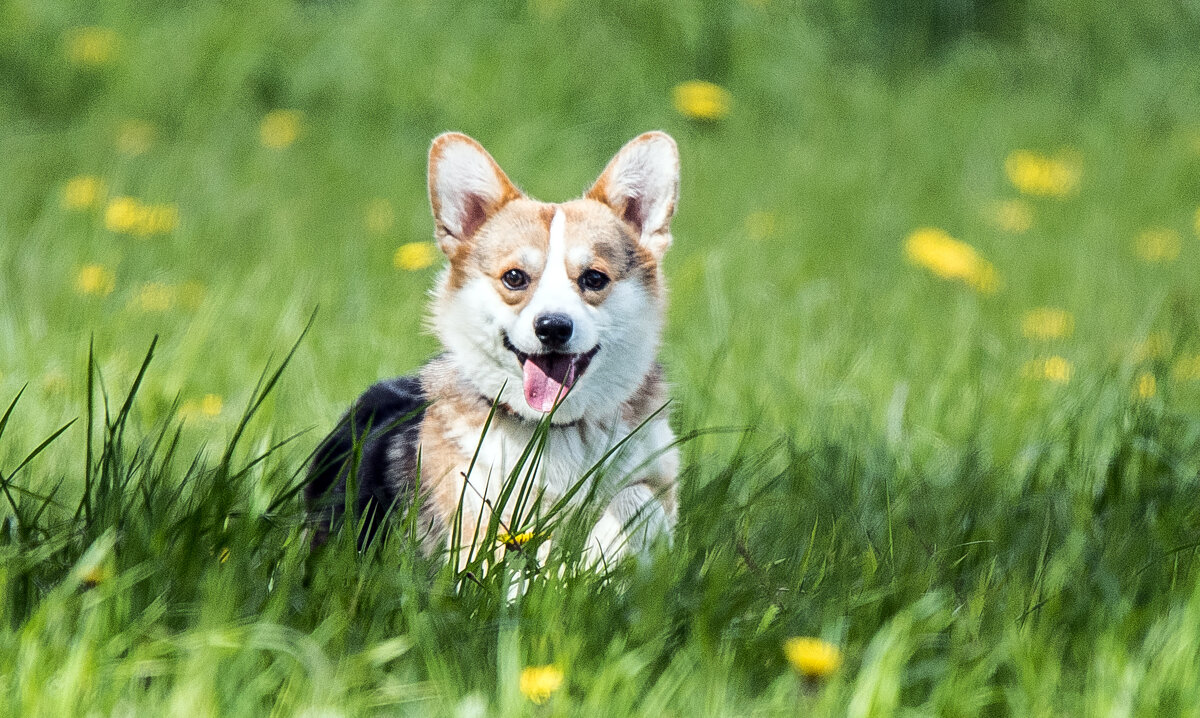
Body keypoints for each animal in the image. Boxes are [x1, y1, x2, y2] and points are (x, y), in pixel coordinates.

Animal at [307, 130, 686, 569]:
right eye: (515, 278)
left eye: (594, 278)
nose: (553, 328)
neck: (555, 429)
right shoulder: (476, 508)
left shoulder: (654, 475)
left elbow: (633, 499)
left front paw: (601, 554)